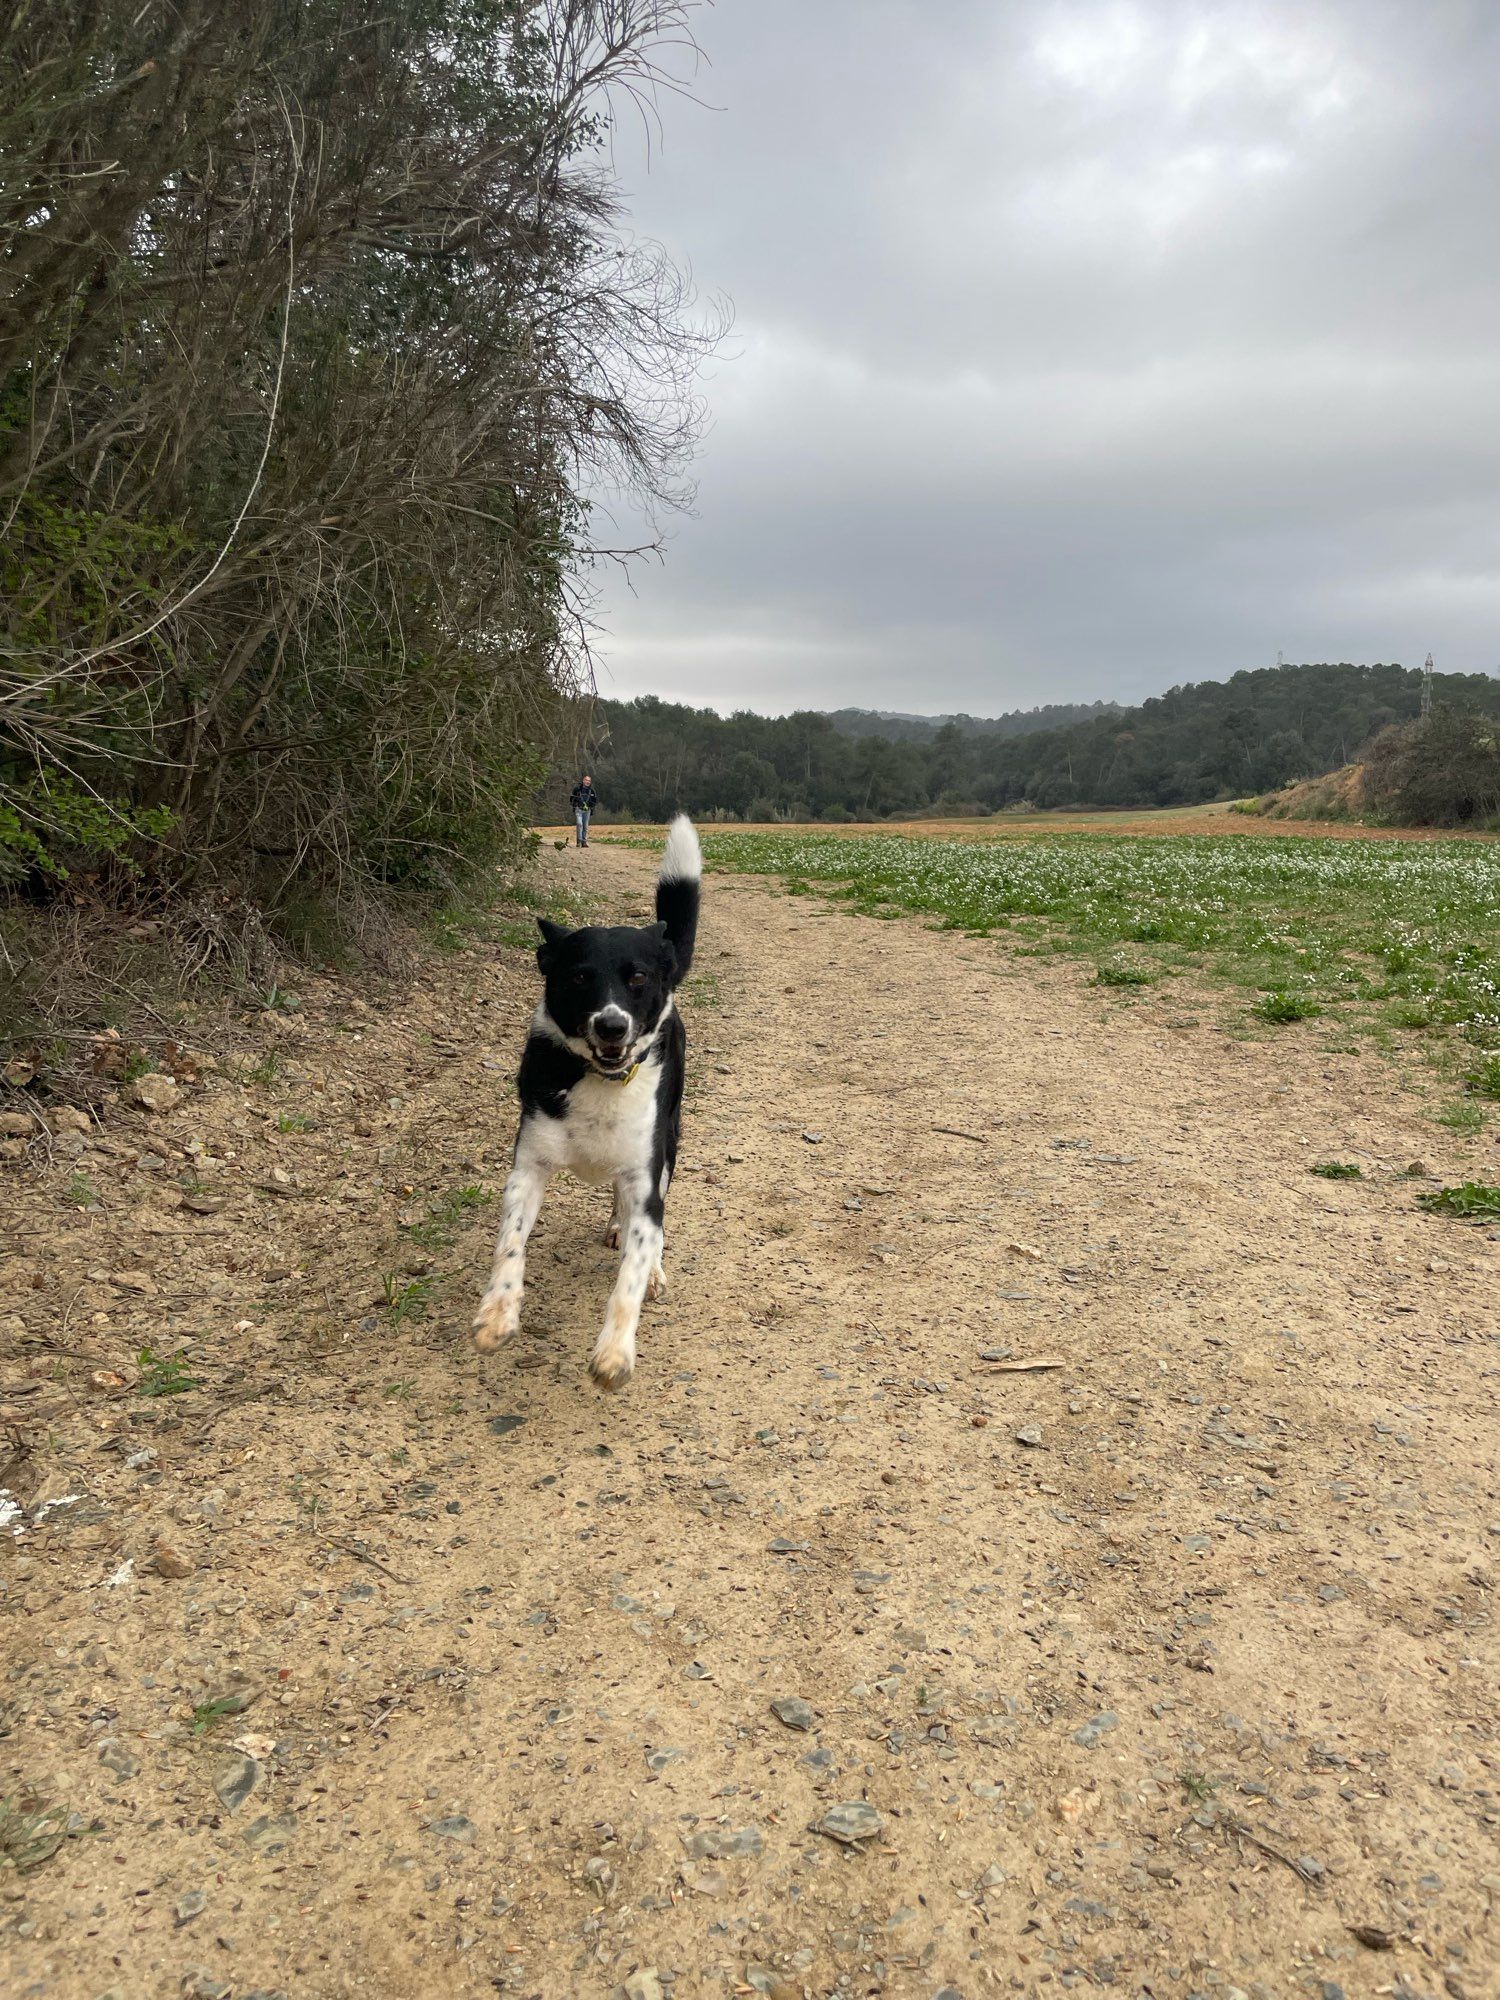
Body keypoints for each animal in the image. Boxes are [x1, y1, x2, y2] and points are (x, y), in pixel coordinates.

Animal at [472, 812, 704, 1392]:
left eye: (637, 977)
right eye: (579, 976)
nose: (612, 1025)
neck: (602, 1080)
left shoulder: (645, 1175)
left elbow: (631, 1273)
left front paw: (615, 1352)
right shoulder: (528, 1167)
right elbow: (509, 1245)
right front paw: (497, 1315)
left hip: (668, 1142)